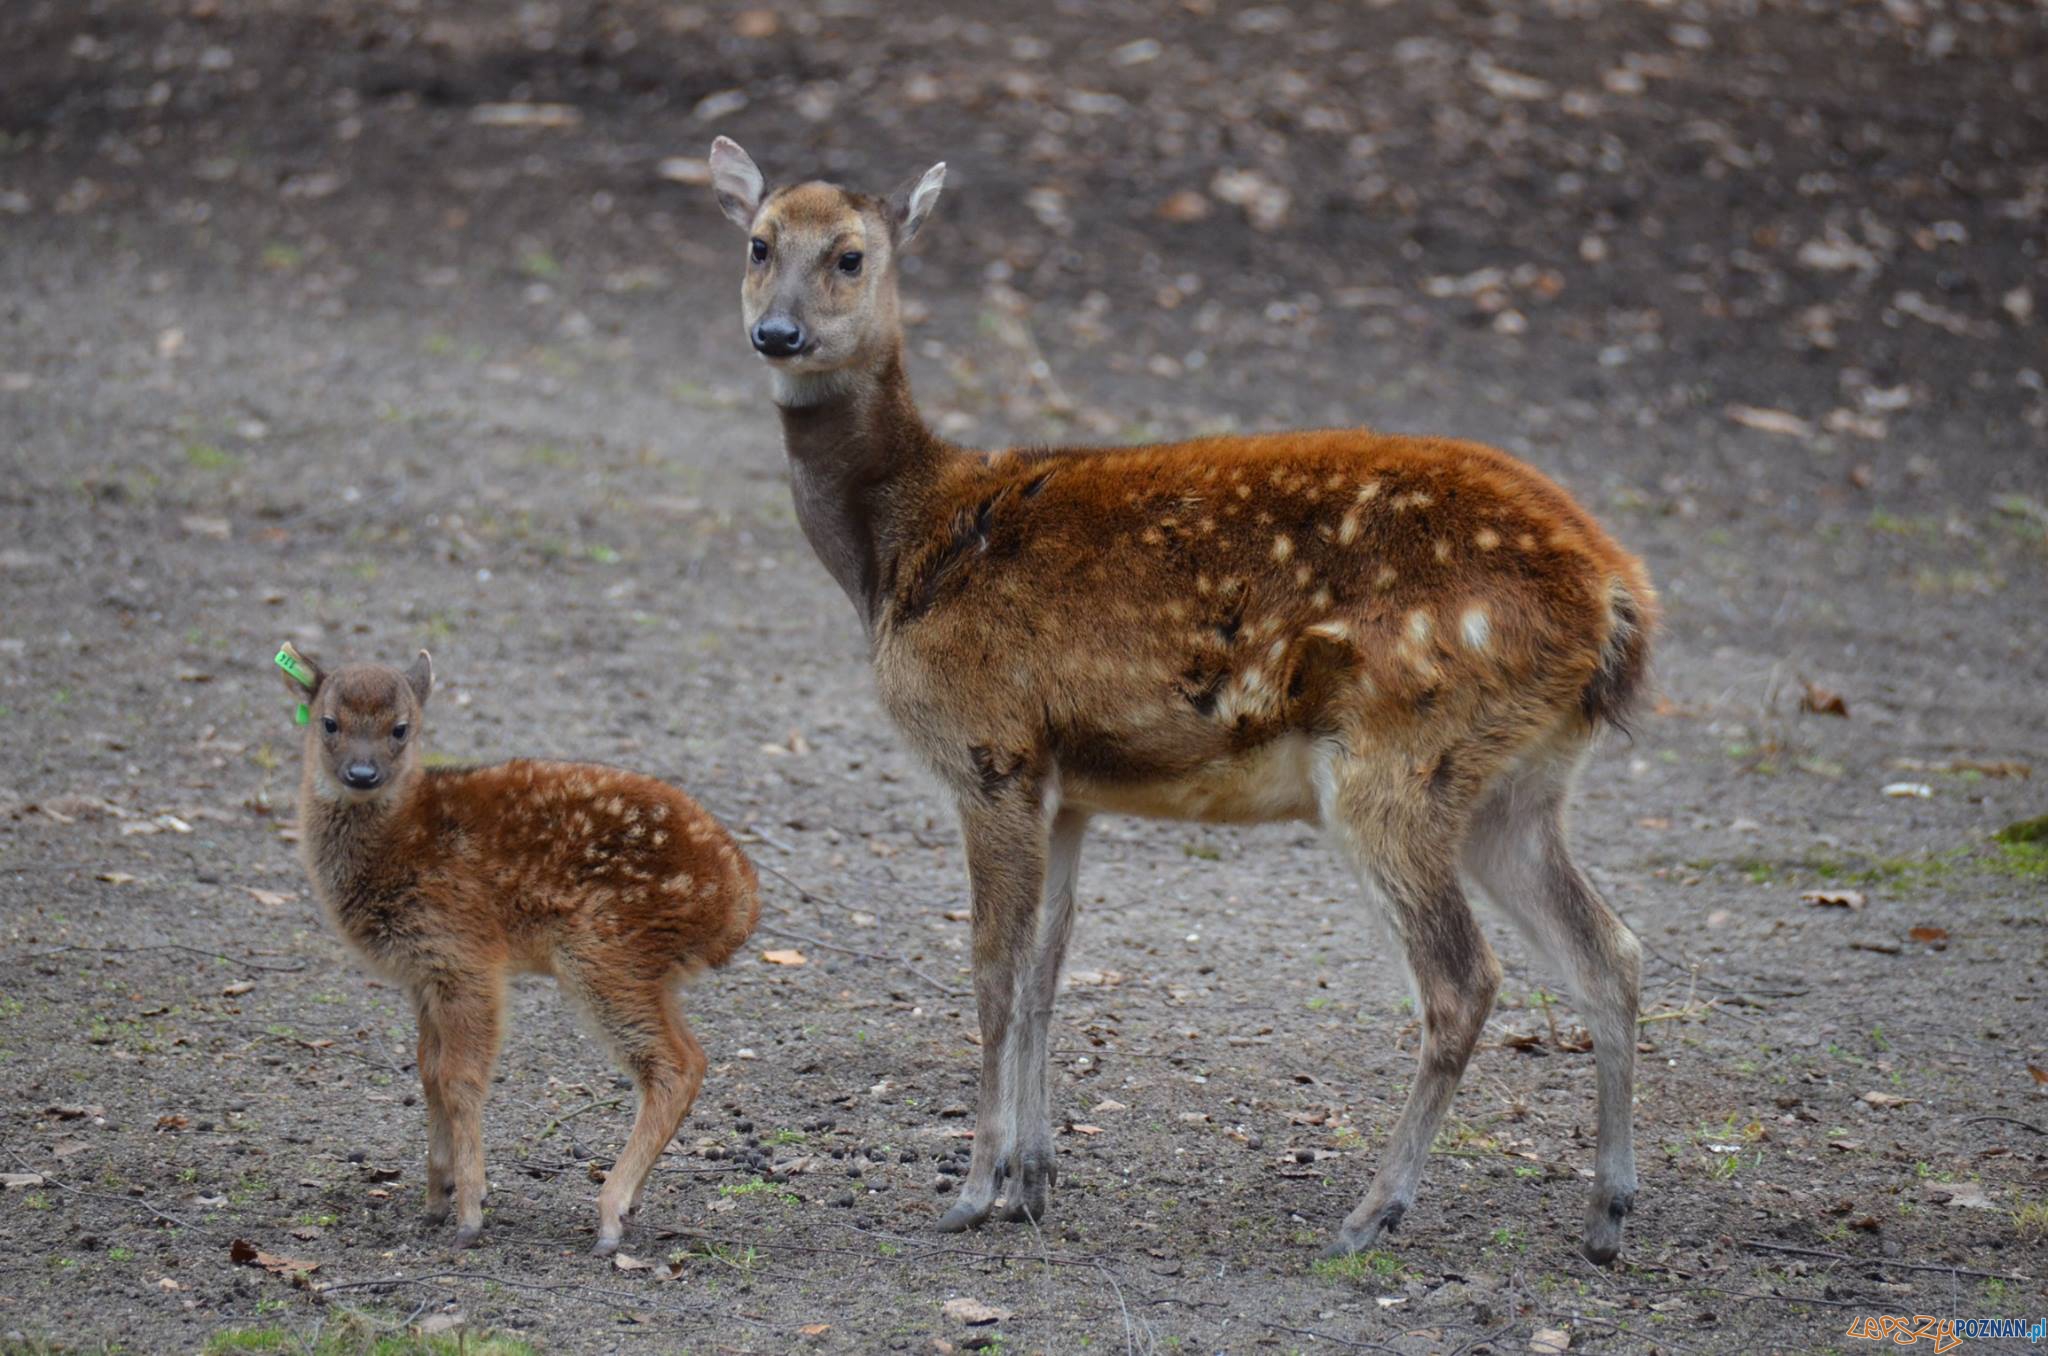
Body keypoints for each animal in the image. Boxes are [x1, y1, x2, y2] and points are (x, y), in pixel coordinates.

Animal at [712, 138, 1654, 1261]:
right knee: (1610, 951)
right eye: (758, 242)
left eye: (851, 255)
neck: (899, 547)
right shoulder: (1066, 784)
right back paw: (1604, 1213)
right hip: (1517, 782)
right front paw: (1034, 1181)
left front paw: (973, 1187)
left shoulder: (989, 746)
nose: (776, 334)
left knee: (1464, 978)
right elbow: (1047, 971)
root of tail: (1616, 597)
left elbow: (991, 971)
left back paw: (1371, 1210)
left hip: (1399, 752)